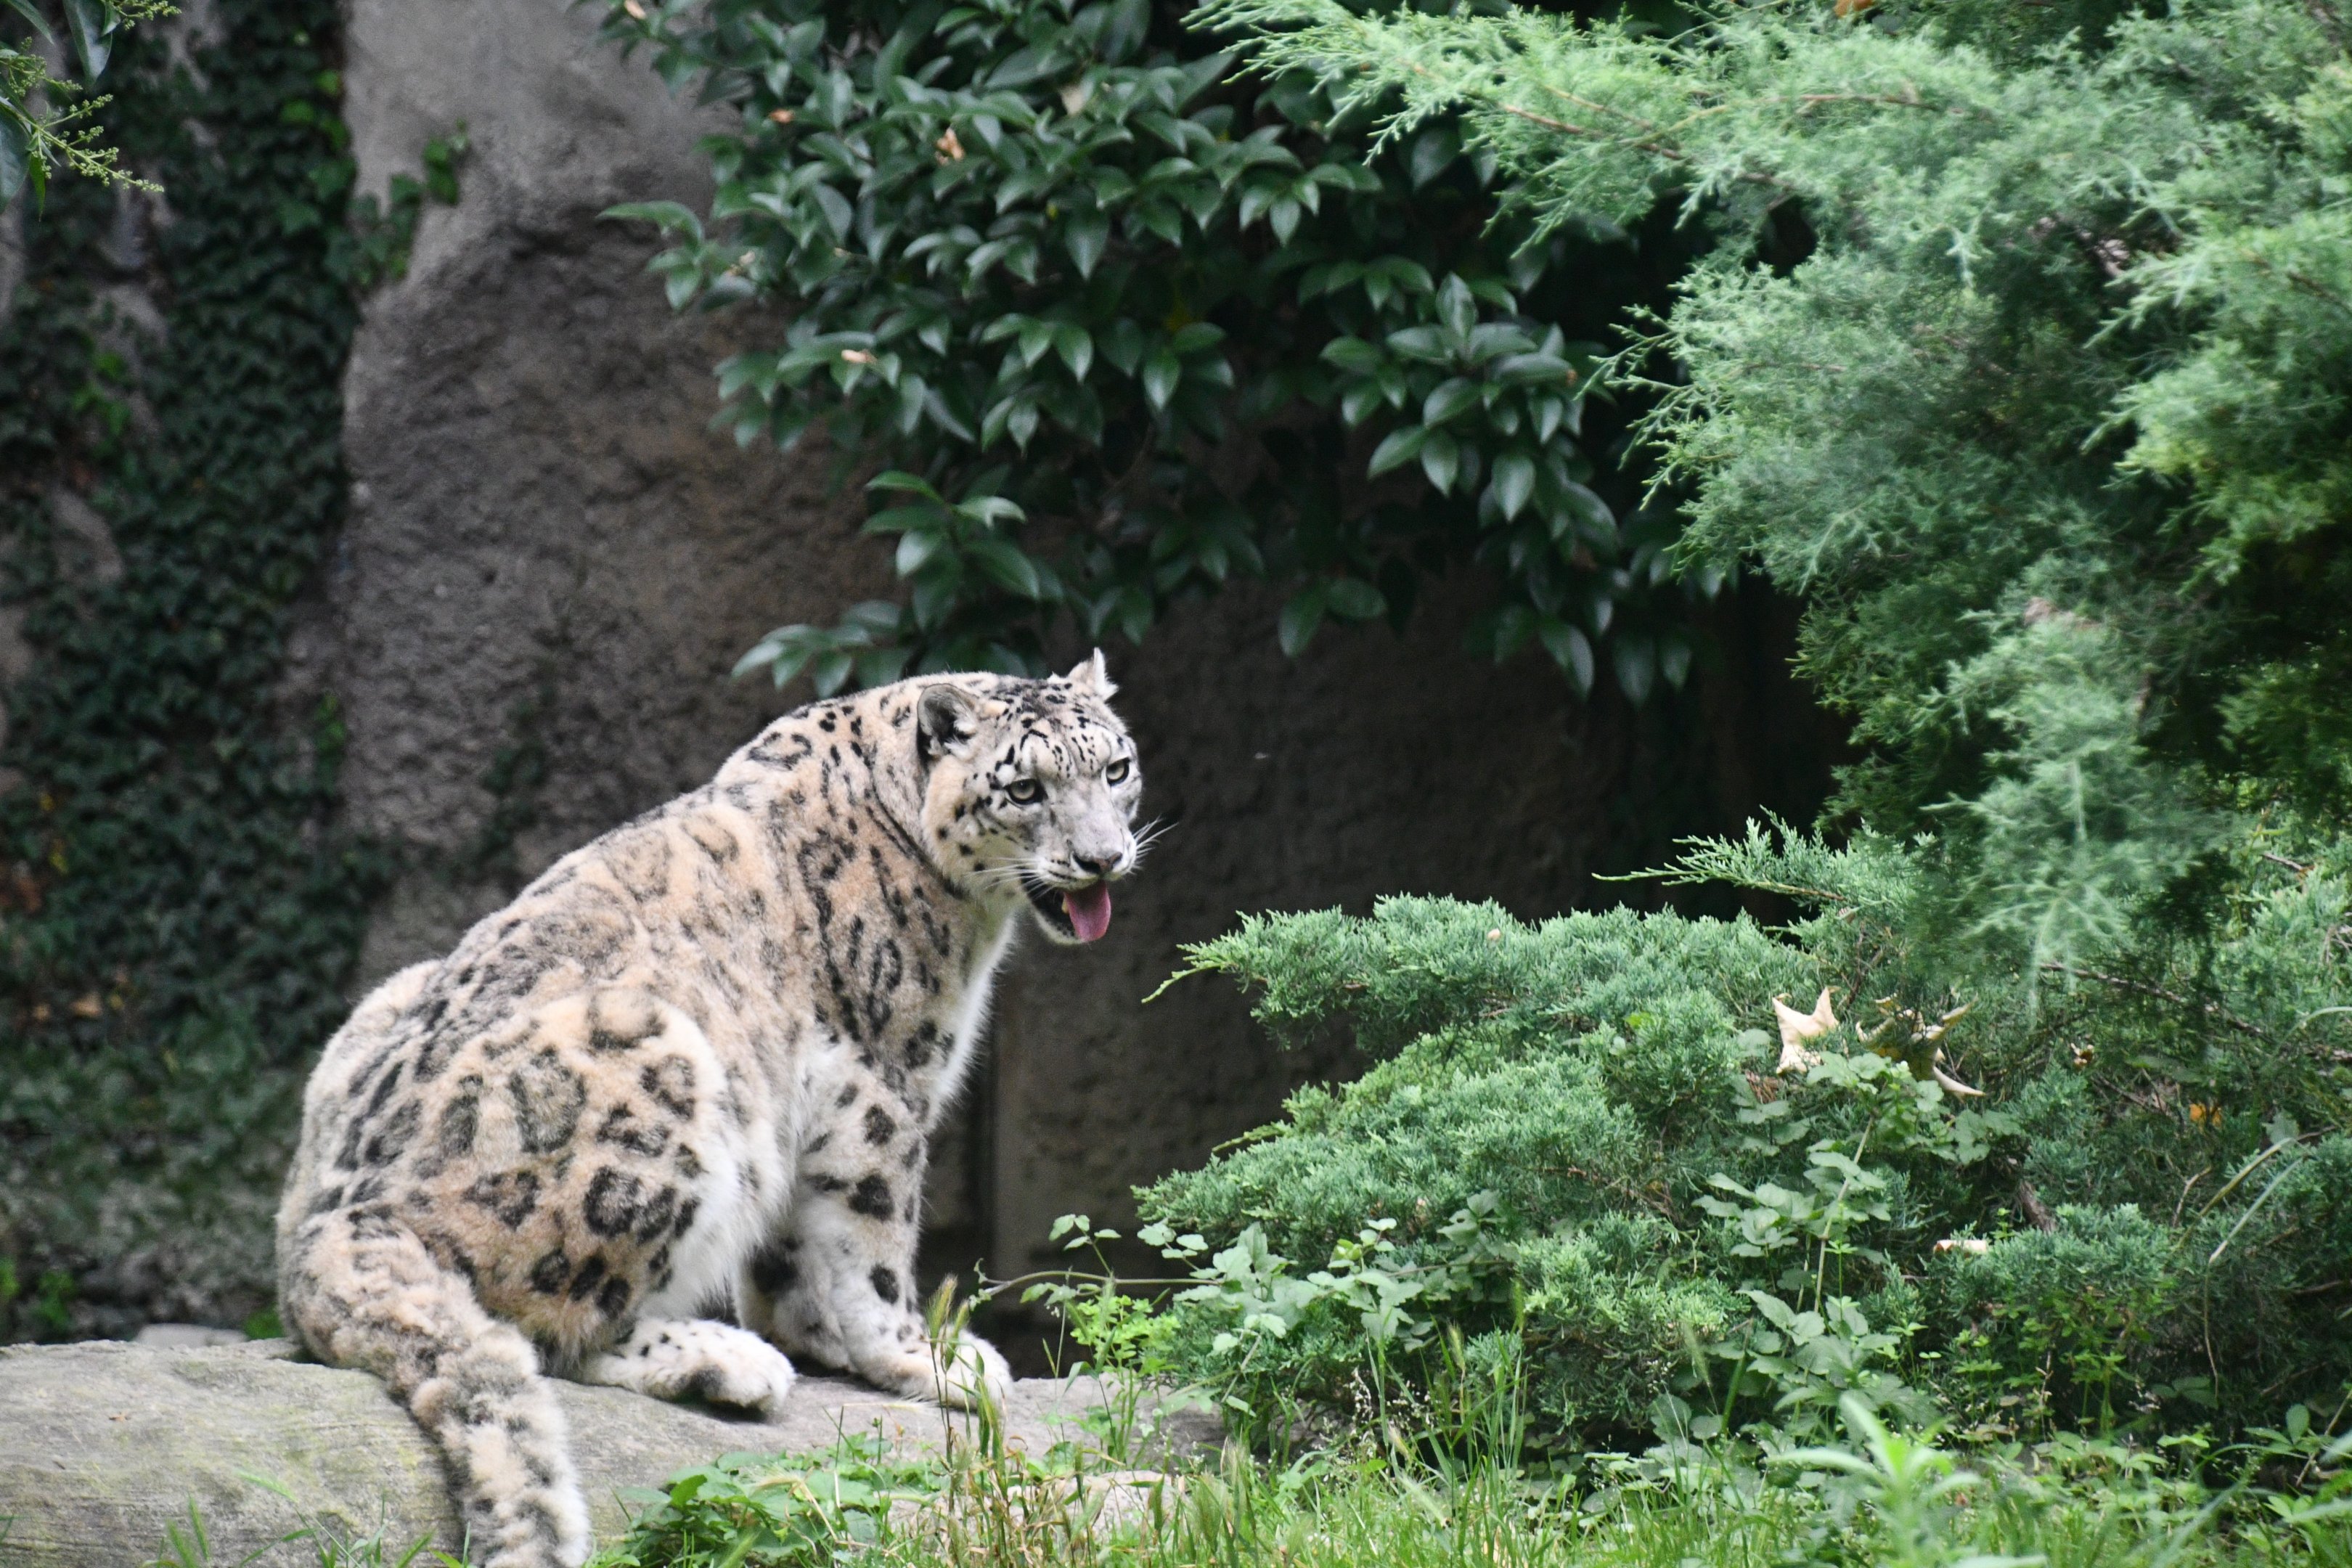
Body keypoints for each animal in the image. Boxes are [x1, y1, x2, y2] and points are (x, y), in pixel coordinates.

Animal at [274, 656, 1143, 1568]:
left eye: (1116, 769)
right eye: (1025, 787)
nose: (1101, 858)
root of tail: (330, 1225)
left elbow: (795, 1250)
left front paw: (820, 1334)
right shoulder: (882, 1084)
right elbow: (875, 1238)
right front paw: (924, 1361)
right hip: (664, 1068)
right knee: (550, 1327)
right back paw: (726, 1360)